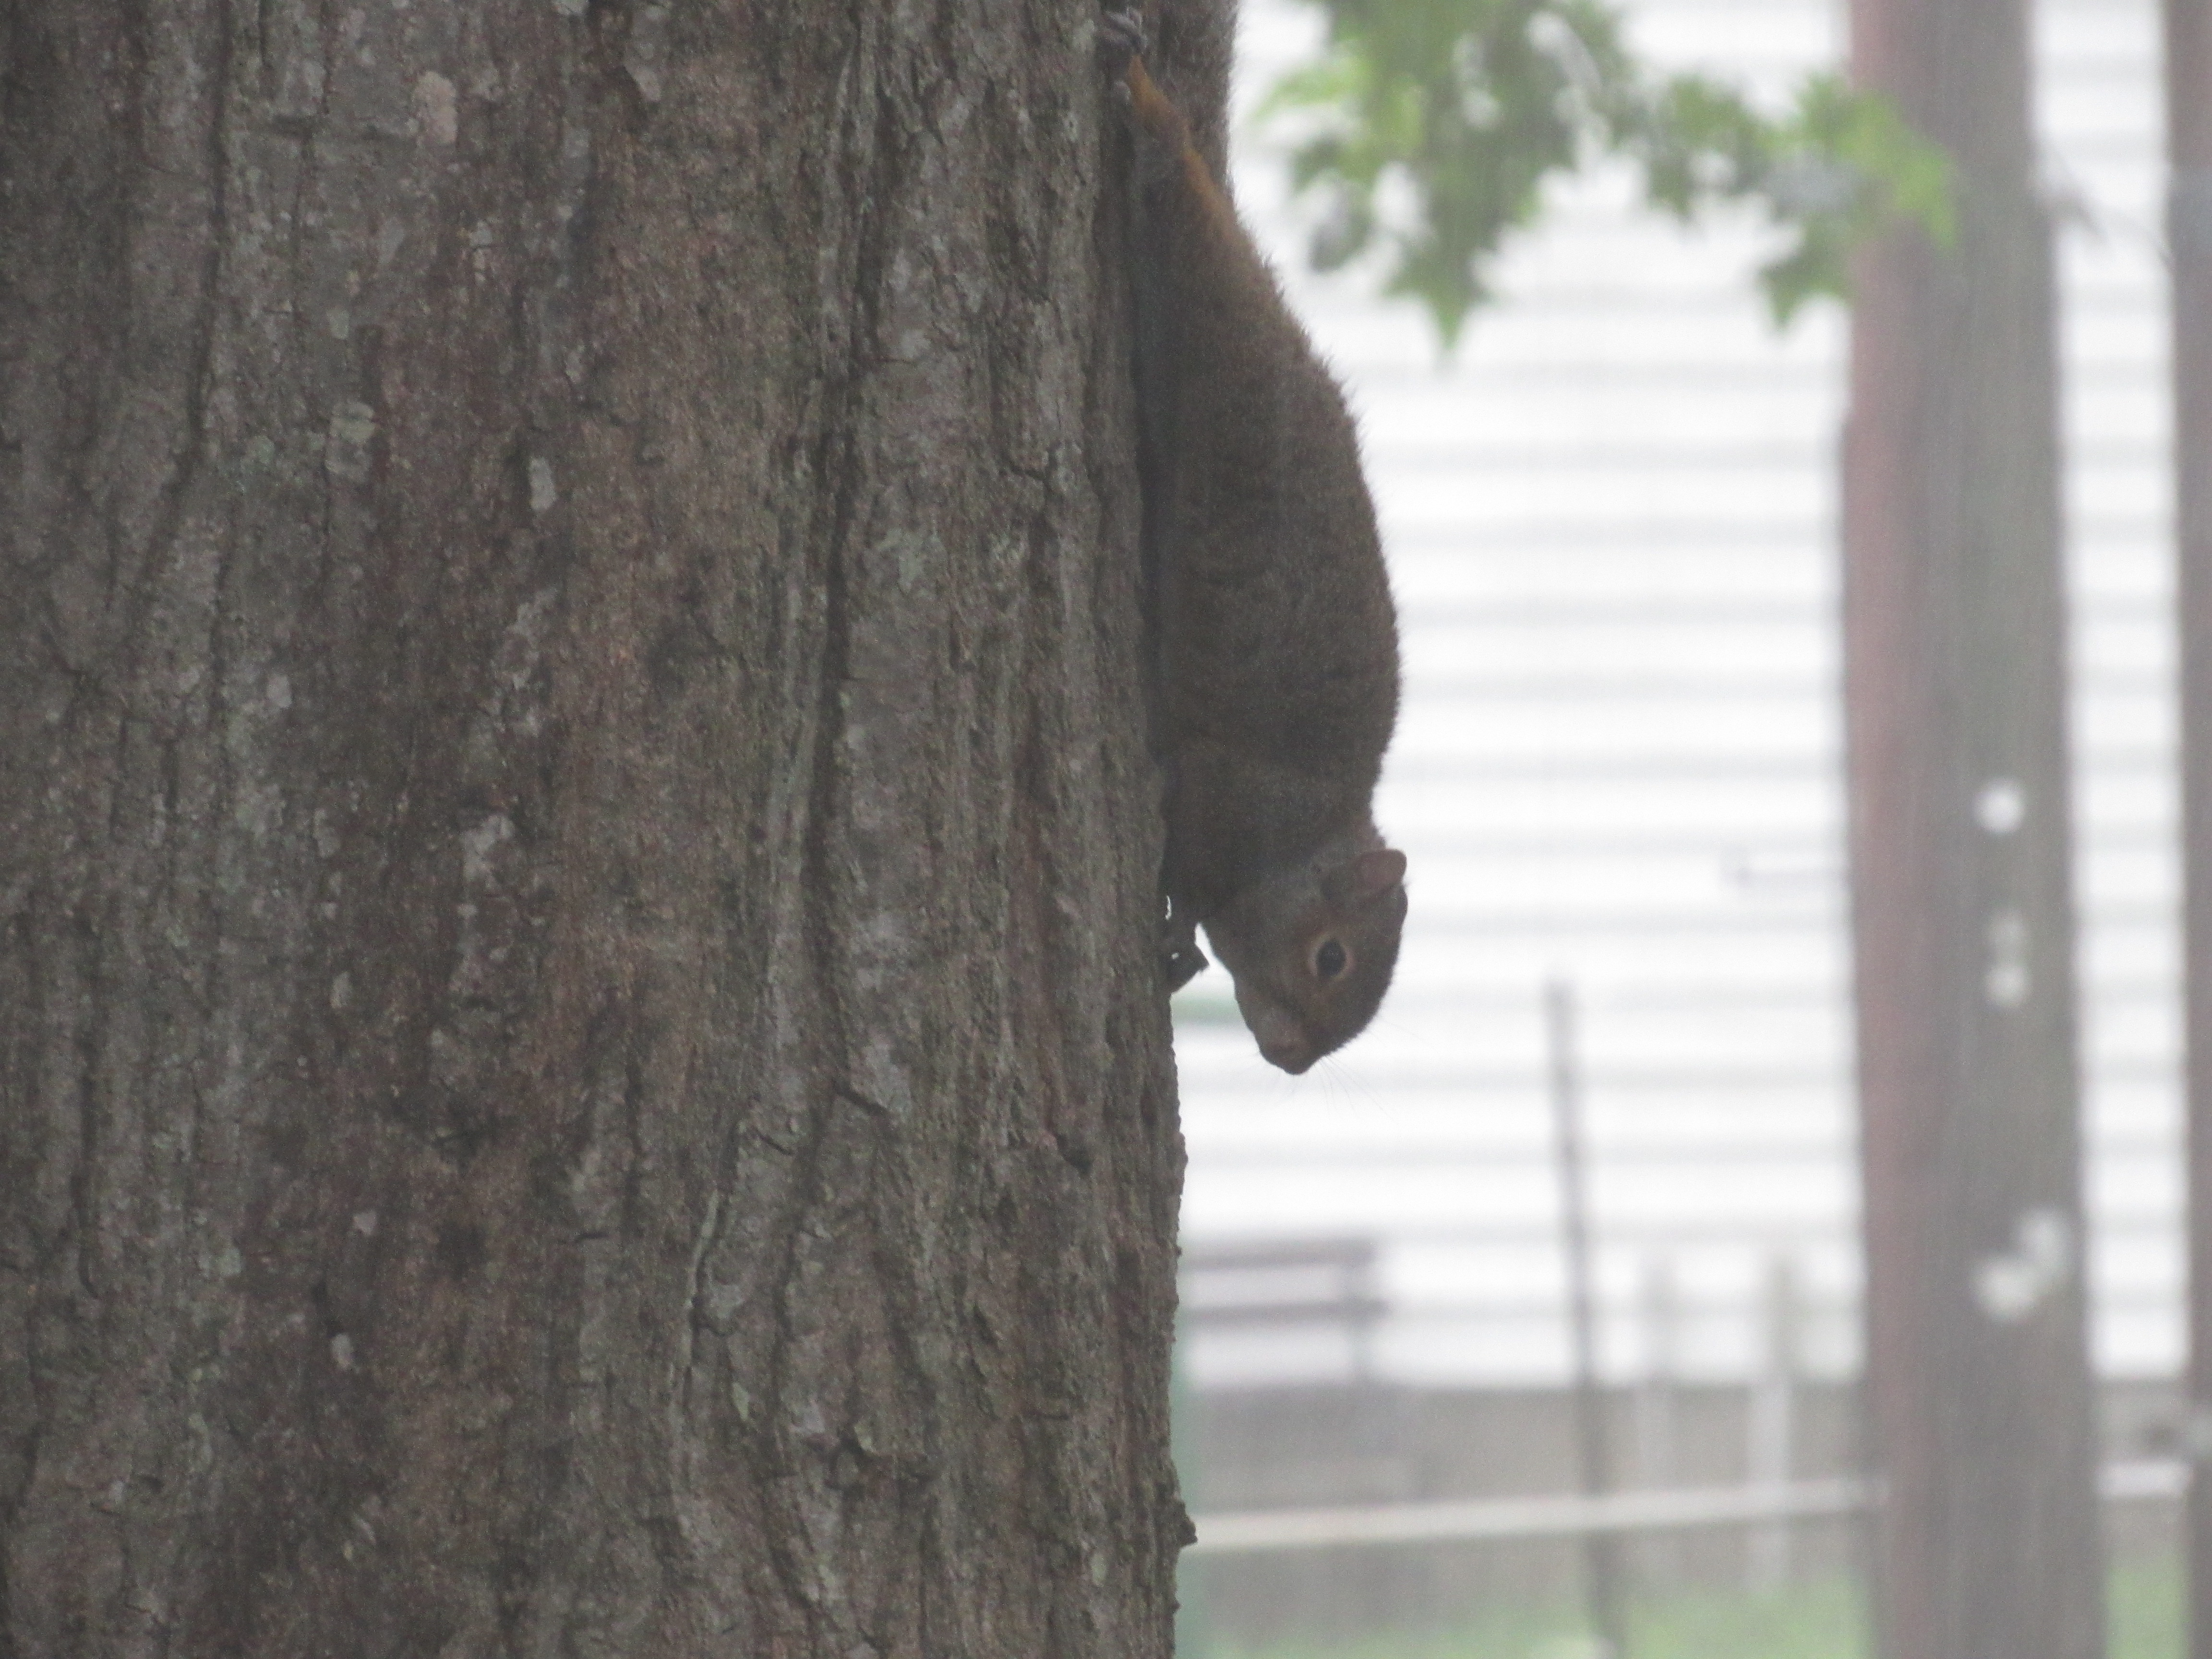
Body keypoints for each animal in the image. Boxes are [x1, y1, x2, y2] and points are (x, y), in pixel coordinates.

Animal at [1103, 9, 1409, 1075]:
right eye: (1332, 959)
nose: (1292, 1060)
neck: (1306, 834)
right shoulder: (1227, 791)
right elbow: (1182, 830)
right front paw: (1177, 931)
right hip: (1215, 348)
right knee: (1178, 211)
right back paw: (1151, 114)